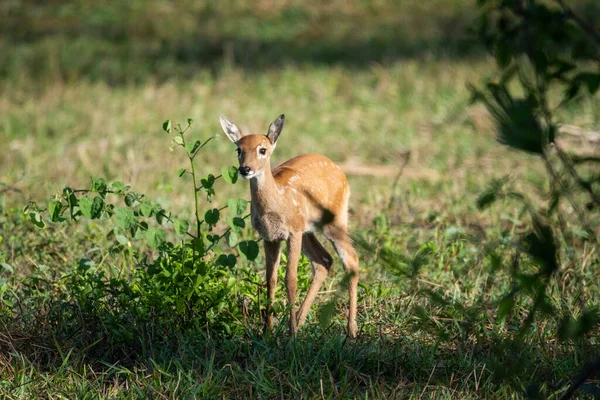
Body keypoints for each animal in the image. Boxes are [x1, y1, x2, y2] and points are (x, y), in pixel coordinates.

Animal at [221, 113, 358, 338]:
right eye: (238, 149)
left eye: (262, 150)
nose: (245, 169)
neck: (277, 201)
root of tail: (342, 173)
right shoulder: (270, 237)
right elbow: (271, 279)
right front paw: (268, 331)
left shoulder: (293, 232)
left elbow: (290, 279)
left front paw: (291, 334)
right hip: (307, 229)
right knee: (324, 260)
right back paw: (302, 320)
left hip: (334, 221)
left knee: (352, 261)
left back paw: (351, 330)